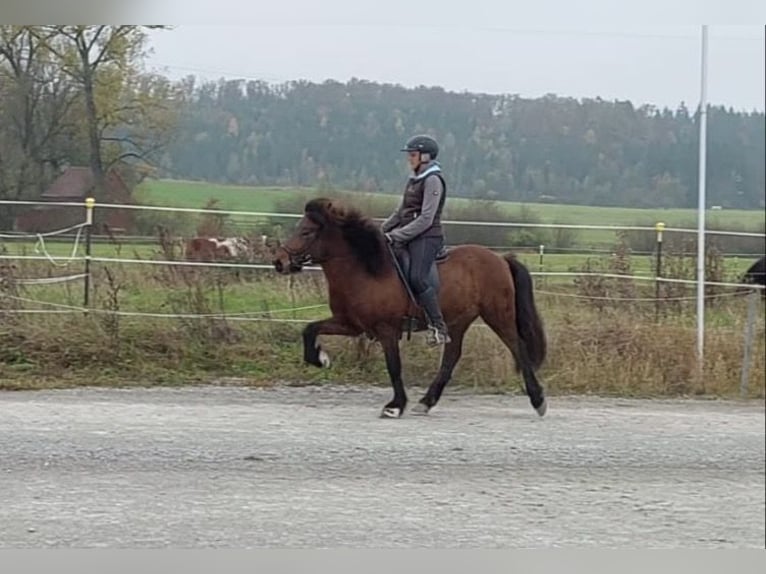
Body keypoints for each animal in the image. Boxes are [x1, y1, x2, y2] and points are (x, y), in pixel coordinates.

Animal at [272, 197, 548, 418]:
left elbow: (394, 367)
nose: (279, 262)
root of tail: (501, 259)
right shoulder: (350, 324)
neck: (366, 270)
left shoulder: (386, 330)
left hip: (498, 315)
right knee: (451, 358)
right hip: (457, 321)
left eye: (307, 232)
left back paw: (538, 401)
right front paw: (320, 359)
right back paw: (426, 402)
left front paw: (395, 406)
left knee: (518, 348)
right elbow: (309, 329)